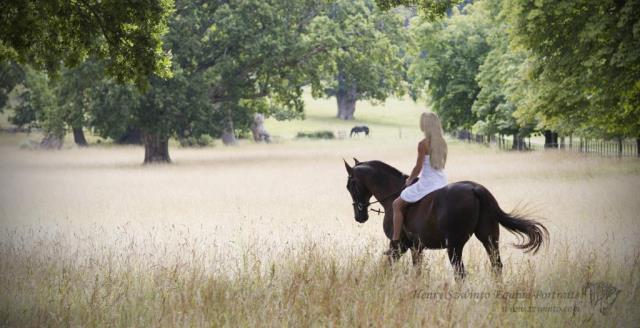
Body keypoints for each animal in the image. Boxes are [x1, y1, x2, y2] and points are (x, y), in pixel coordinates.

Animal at [342, 158, 548, 280]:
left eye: (350, 185)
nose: (360, 216)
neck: (393, 194)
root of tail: (476, 189)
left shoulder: (399, 244)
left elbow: (388, 265)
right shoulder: (416, 247)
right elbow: (416, 271)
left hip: (454, 246)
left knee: (460, 273)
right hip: (489, 239)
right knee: (496, 266)